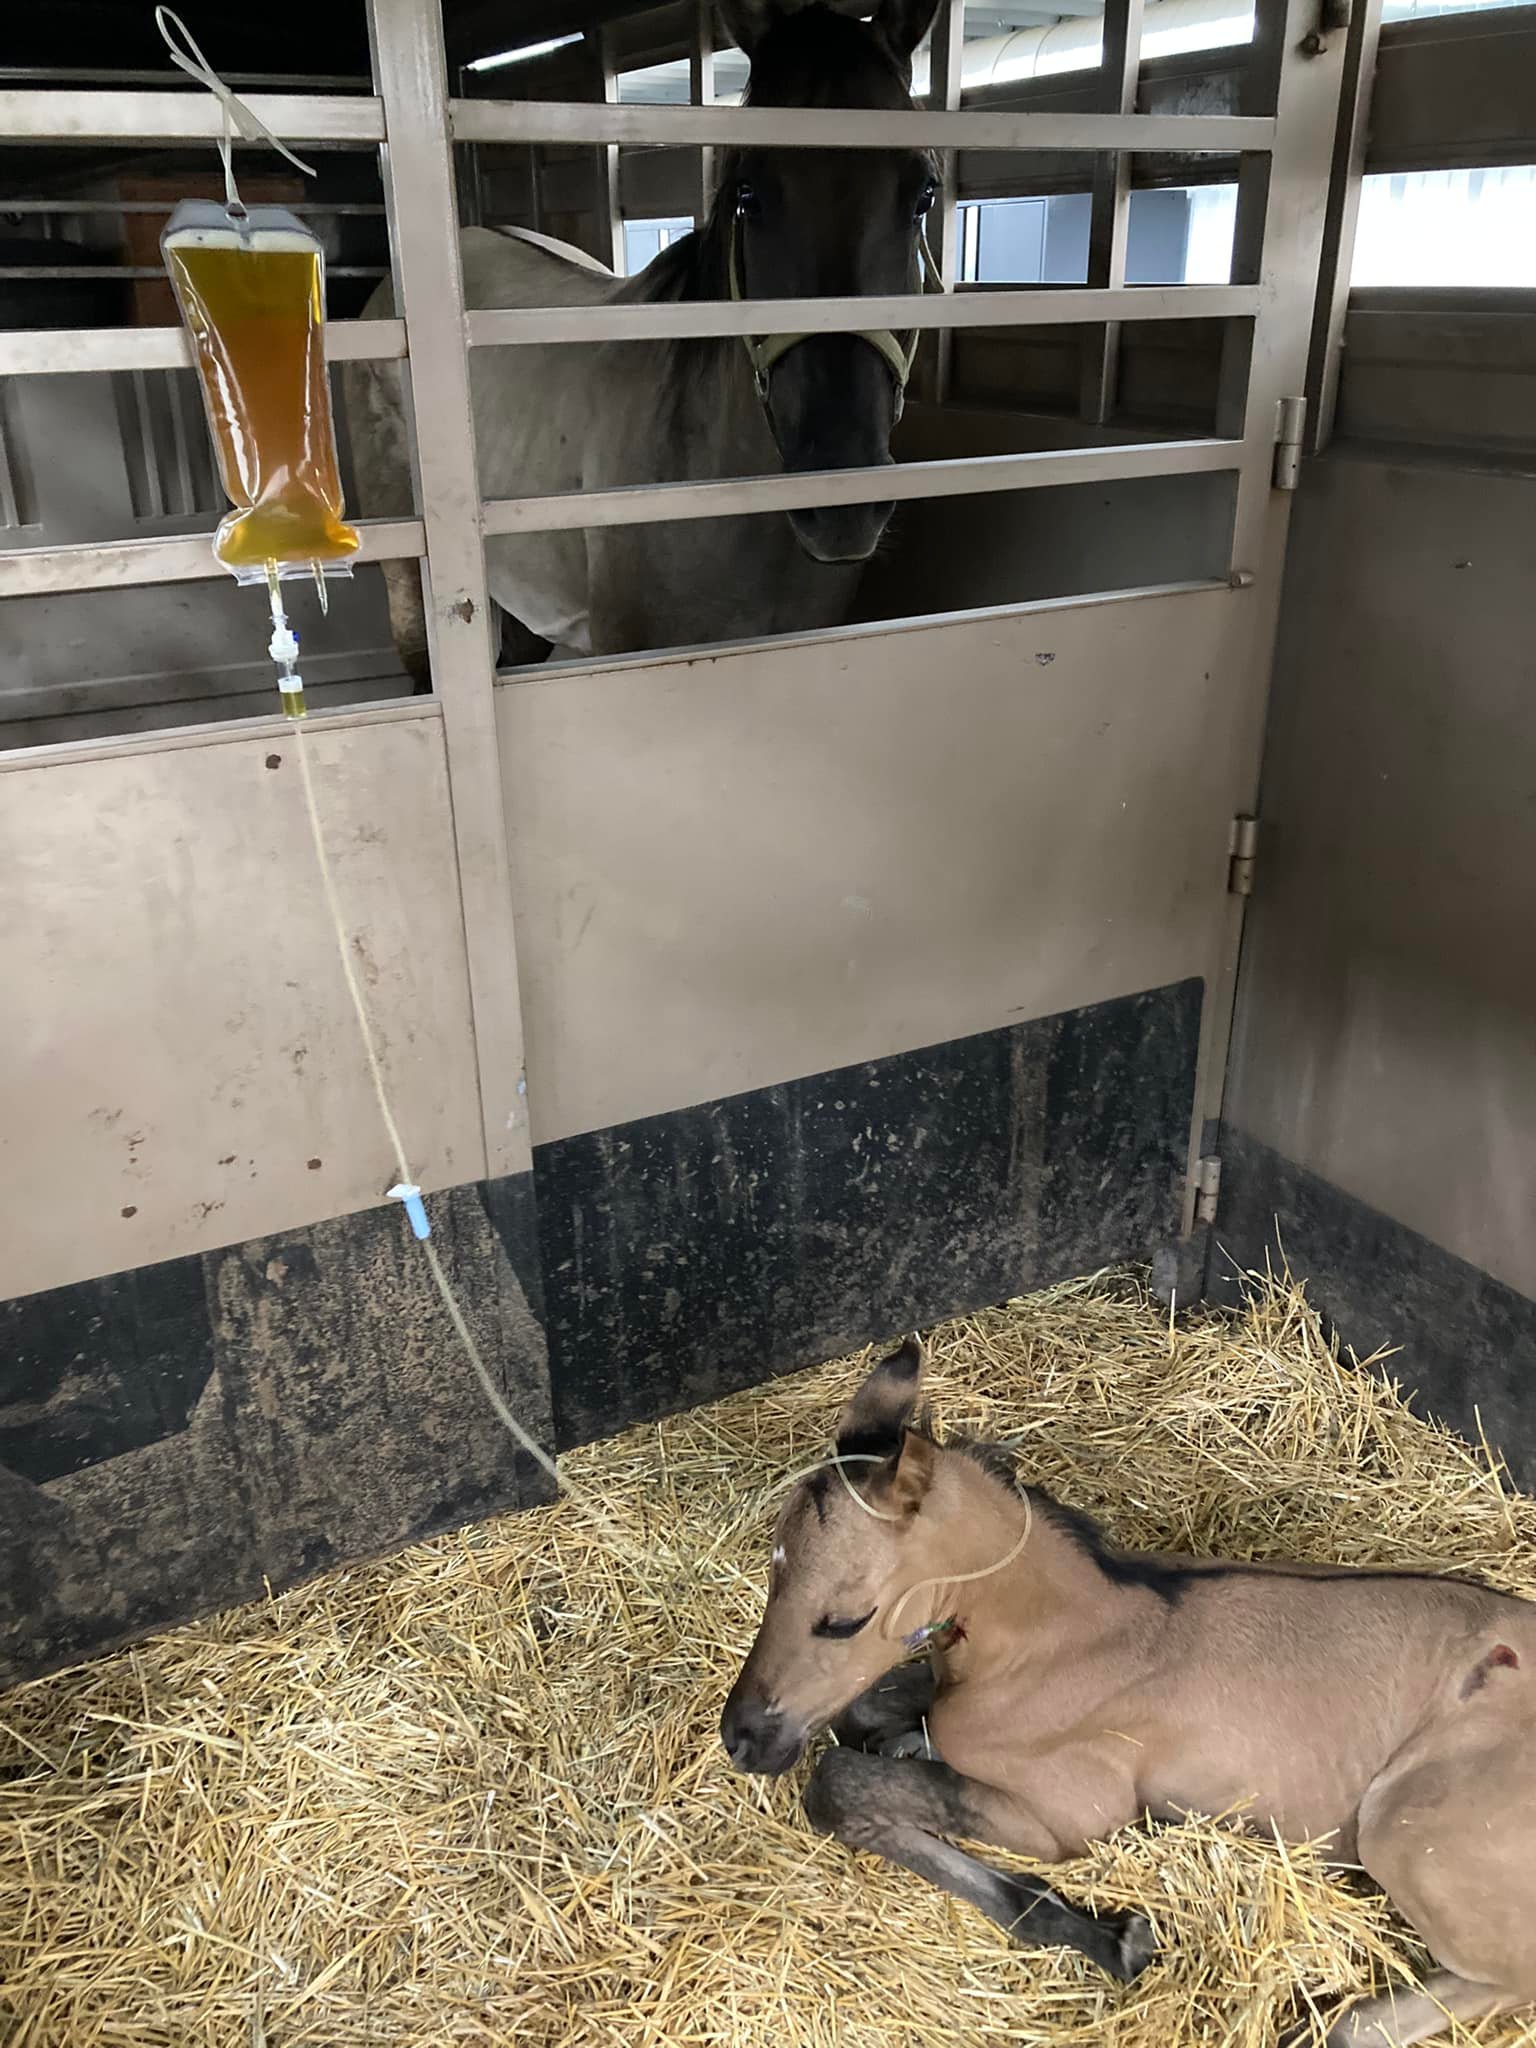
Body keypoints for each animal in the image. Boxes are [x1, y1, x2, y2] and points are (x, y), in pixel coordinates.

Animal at [720, 1338, 1536, 2047]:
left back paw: (1336, 2023)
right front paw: (902, 1737)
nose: (742, 1737)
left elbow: (841, 1783)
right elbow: (870, 1718)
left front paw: (1112, 1937)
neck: (1061, 1641)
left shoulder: (1071, 1815)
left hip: (1403, 1827)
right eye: (770, 1568)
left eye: (843, 1620)